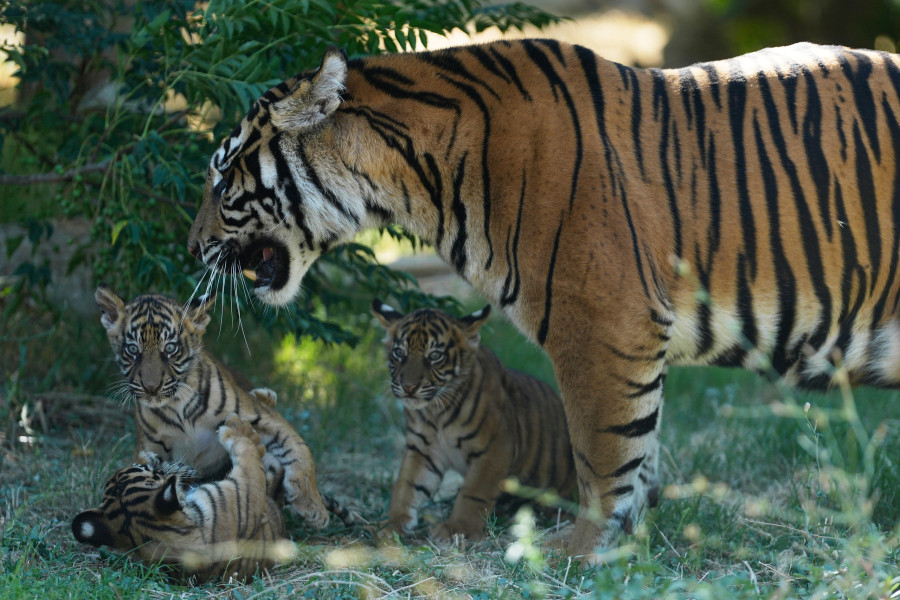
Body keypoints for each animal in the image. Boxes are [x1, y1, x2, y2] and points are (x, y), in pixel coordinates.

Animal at [72, 415, 293, 582]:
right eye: (155, 472)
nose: (150, 460)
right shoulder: (244, 487)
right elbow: (246, 450)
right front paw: (237, 425)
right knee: (273, 466)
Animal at [94, 285, 354, 529]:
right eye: (132, 349)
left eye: (170, 348)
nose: (151, 388)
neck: (177, 406)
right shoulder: (149, 446)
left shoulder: (260, 416)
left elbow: (300, 450)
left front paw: (314, 508)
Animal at [371, 300, 577, 541]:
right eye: (399, 352)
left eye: (435, 355)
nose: (409, 387)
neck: (435, 412)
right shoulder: (422, 450)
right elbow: (408, 485)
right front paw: (392, 524)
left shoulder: (495, 447)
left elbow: (473, 492)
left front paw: (457, 529)